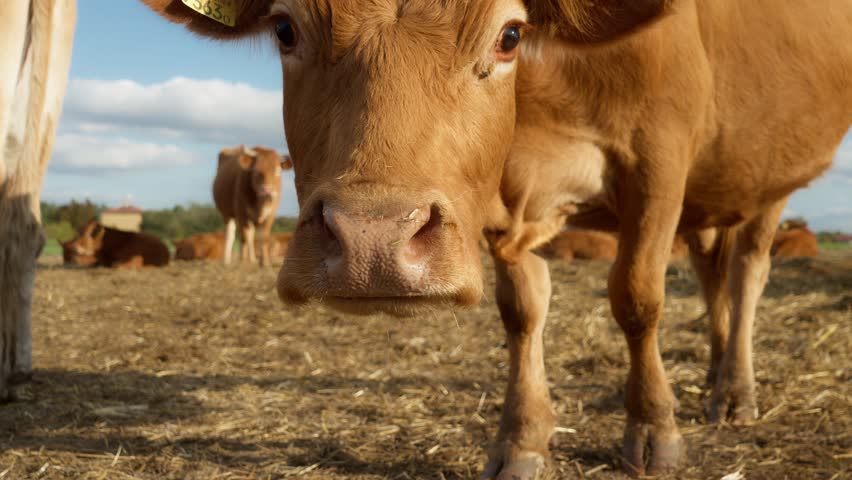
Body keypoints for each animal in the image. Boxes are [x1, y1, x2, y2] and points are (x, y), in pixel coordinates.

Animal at [142, 1, 852, 477]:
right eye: (285, 29)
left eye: (510, 34)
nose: (372, 243)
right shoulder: (491, 198)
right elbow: (522, 311)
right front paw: (523, 440)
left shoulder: (660, 153)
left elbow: (637, 298)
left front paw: (654, 426)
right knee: (711, 274)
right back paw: (712, 374)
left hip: (766, 181)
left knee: (747, 273)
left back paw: (734, 392)